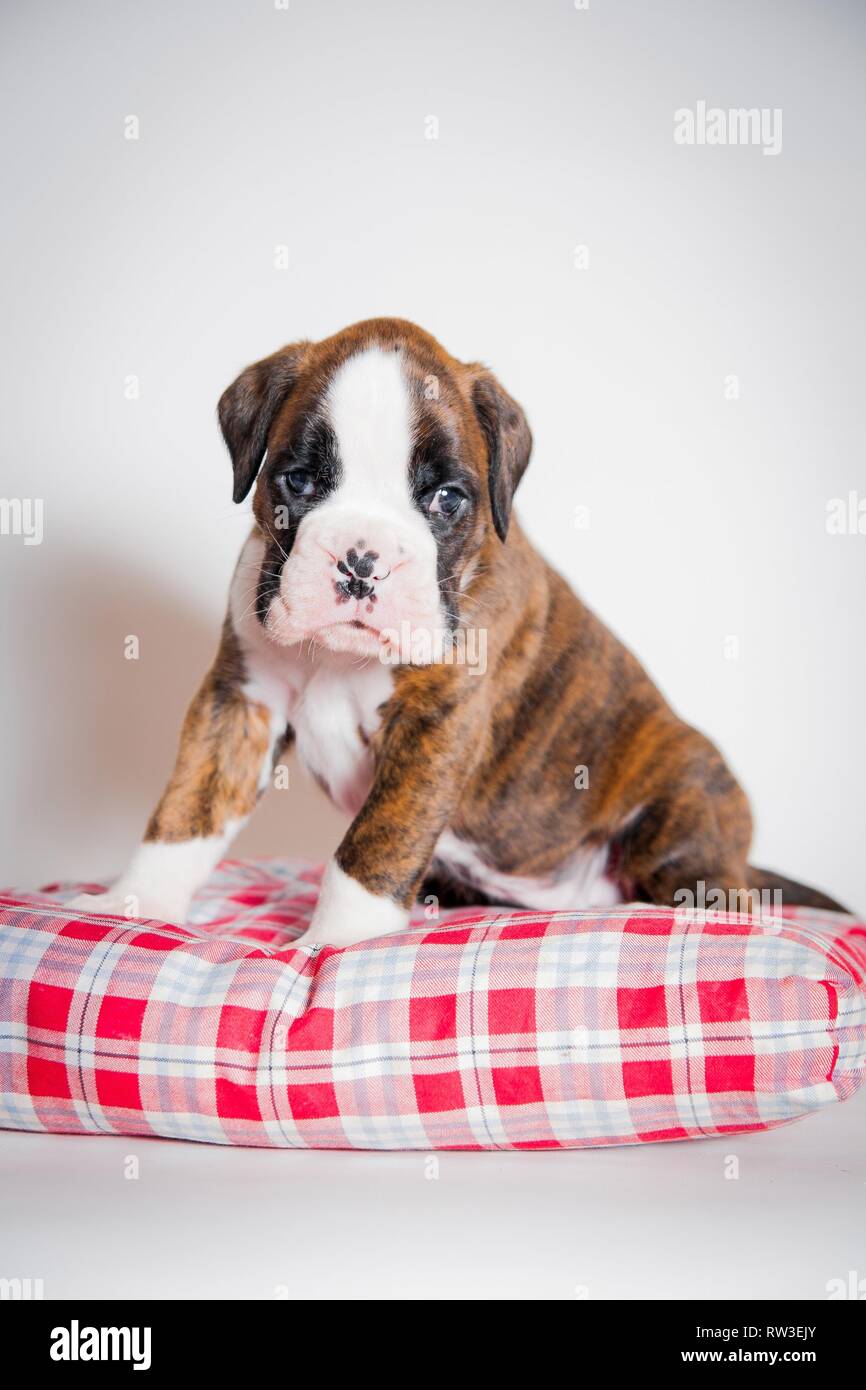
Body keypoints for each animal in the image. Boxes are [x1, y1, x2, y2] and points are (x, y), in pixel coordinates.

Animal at [71, 318, 845, 945]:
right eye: (297, 481)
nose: (361, 560)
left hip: (682, 799)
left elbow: (373, 845)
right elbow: (186, 810)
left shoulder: (435, 723)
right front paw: (135, 905)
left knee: (719, 891)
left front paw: (335, 943)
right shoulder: (240, 701)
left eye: (447, 497)